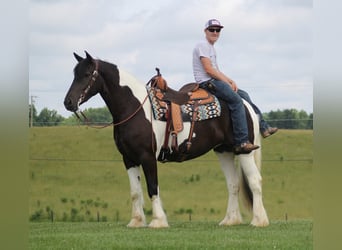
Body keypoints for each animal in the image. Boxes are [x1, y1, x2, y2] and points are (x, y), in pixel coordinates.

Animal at [62, 51, 268, 229]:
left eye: (87, 74)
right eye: (74, 74)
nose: (68, 102)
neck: (135, 107)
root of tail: (244, 103)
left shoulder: (147, 157)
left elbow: (153, 188)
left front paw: (158, 221)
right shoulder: (128, 159)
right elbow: (135, 192)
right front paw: (136, 222)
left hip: (244, 150)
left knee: (255, 180)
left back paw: (259, 221)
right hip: (224, 151)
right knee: (233, 184)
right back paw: (230, 220)